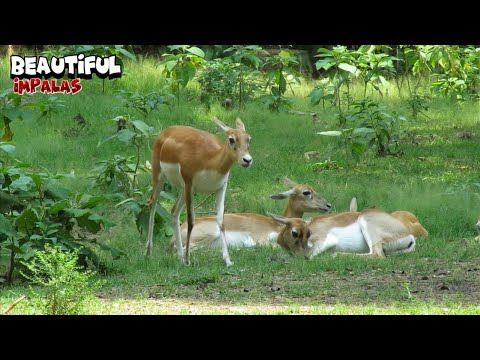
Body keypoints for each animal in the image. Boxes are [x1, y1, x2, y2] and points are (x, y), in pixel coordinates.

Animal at [145, 116, 251, 266]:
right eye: (231, 139)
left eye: (248, 139)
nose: (247, 160)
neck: (210, 160)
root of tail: (165, 131)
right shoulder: (190, 184)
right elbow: (191, 221)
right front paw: (188, 259)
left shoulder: (221, 188)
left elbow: (221, 221)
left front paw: (228, 260)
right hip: (159, 176)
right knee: (152, 204)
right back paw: (148, 252)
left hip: (182, 189)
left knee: (174, 211)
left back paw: (180, 256)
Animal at [270, 205, 428, 258]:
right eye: (284, 245)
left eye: (294, 233)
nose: (300, 256)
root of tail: (409, 235)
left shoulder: (325, 240)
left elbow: (311, 255)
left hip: (367, 223)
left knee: (377, 255)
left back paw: (336, 255)